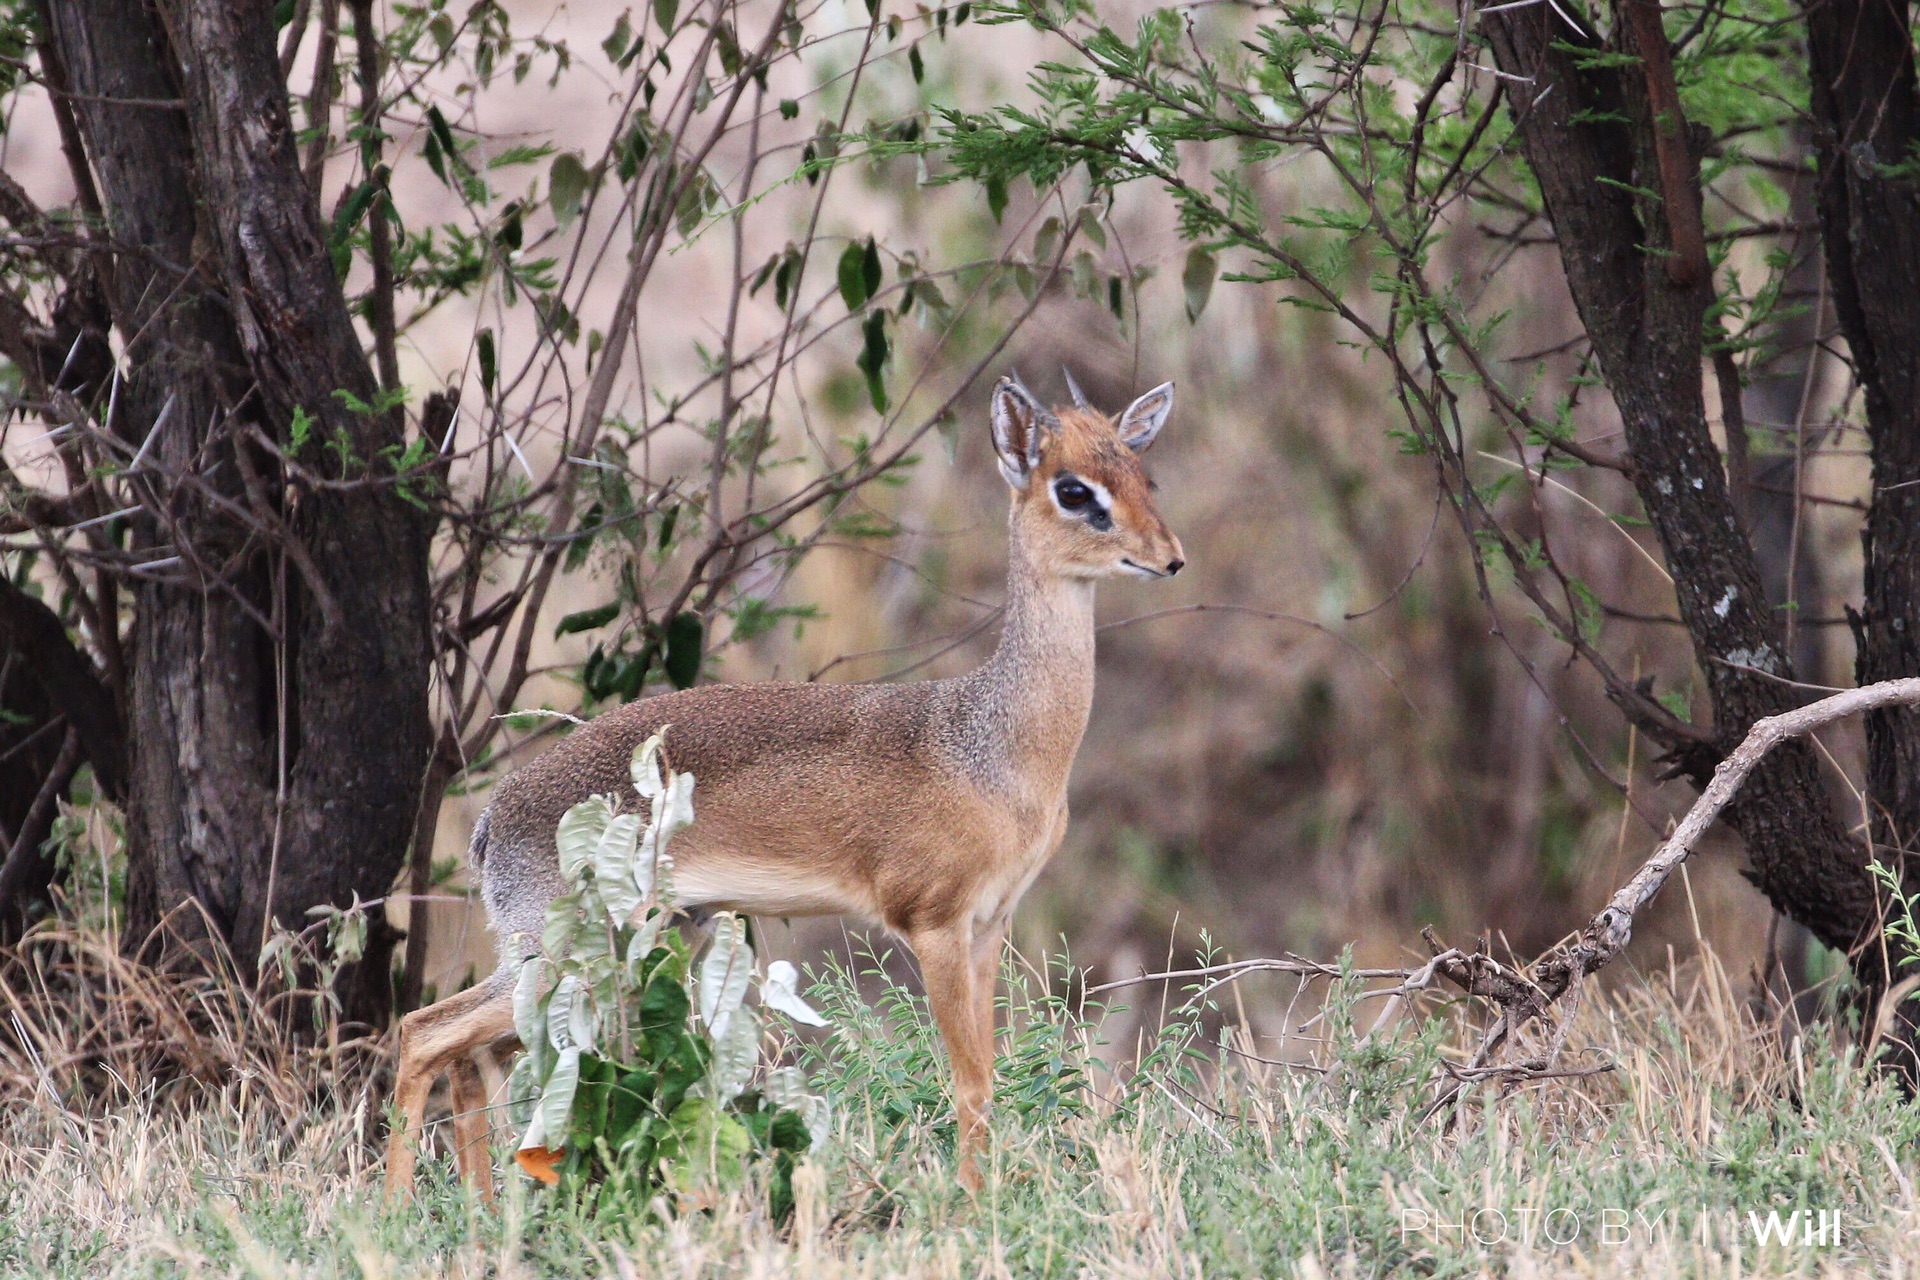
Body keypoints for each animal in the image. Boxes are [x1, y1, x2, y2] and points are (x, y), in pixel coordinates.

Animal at [387, 370, 1182, 1205]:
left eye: (1142, 474)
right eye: (1073, 489)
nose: (1169, 558)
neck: (992, 743)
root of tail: (493, 819)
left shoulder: (989, 926)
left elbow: (988, 1073)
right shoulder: (933, 923)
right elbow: (968, 1081)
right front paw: (970, 1206)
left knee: (474, 1055)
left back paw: (479, 1213)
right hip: (566, 951)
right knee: (426, 1032)